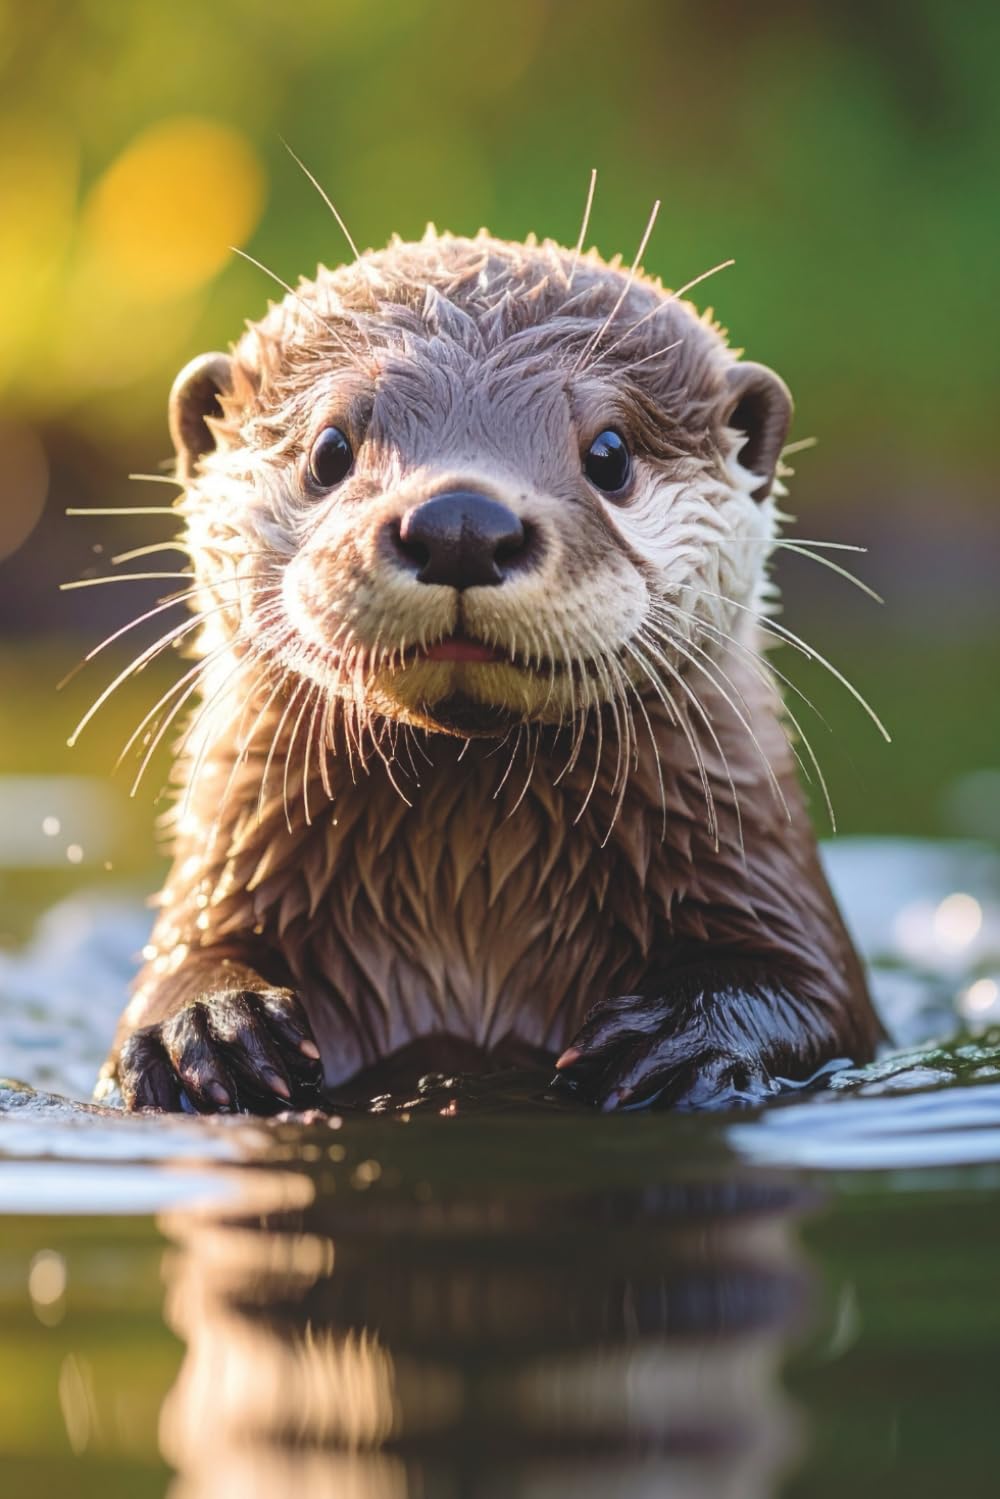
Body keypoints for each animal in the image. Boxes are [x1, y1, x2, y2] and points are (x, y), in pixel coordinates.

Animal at [93, 226, 882, 1114]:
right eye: (330, 448)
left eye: (610, 452)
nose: (461, 523)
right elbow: (173, 970)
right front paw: (210, 1025)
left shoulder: (777, 897)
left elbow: (815, 993)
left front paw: (685, 1035)